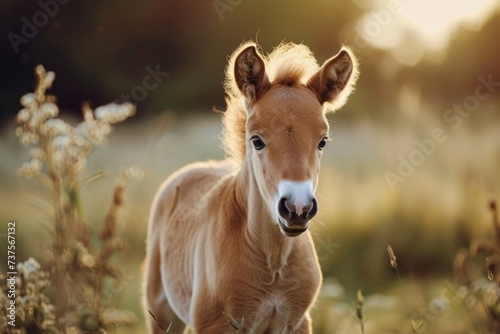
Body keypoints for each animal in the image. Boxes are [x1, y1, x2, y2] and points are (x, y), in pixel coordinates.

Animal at [145, 40, 360, 332]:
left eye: (323, 141)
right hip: (161, 312)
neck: (274, 265)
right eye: (256, 140)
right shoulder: (216, 325)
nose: (298, 208)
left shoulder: (297, 322)